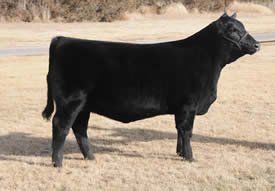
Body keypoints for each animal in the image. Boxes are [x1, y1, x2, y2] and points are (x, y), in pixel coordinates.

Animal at [42, 12, 260, 166]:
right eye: (233, 30)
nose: (257, 44)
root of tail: (62, 39)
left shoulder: (182, 109)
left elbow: (179, 131)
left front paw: (180, 153)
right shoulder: (189, 105)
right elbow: (187, 131)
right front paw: (189, 157)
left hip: (84, 105)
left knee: (80, 129)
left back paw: (90, 157)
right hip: (71, 101)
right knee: (61, 125)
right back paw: (58, 162)